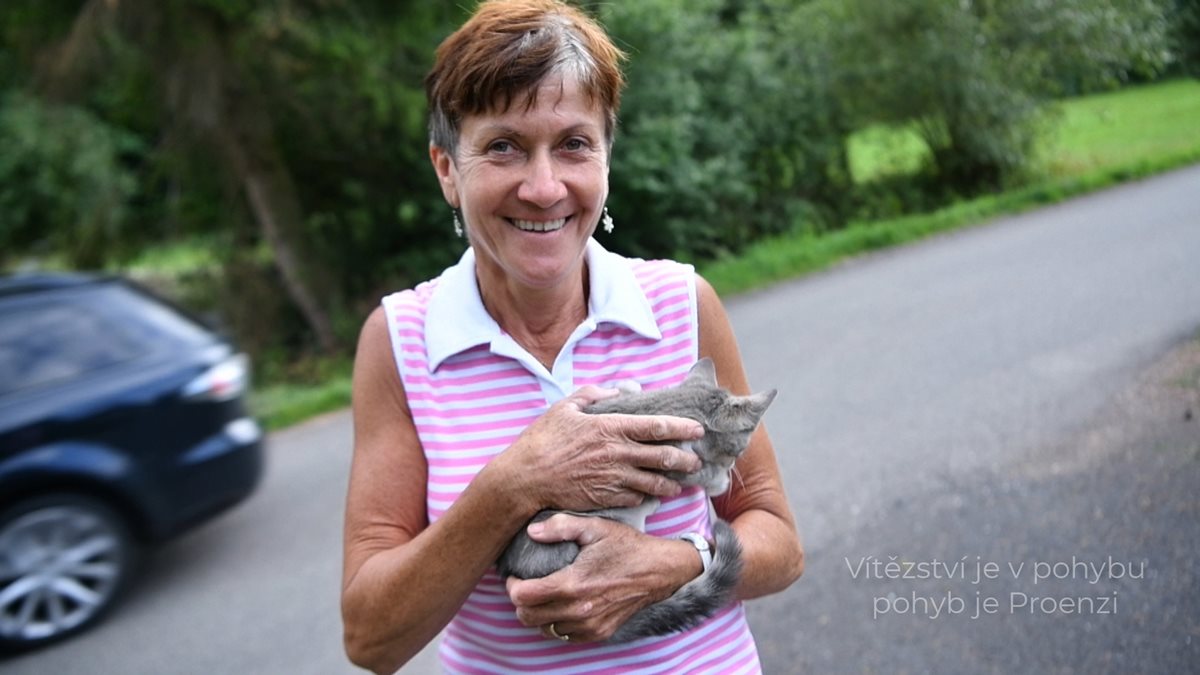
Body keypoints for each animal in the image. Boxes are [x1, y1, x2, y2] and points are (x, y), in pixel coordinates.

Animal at [496, 357, 777, 642]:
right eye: (740, 448)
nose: (732, 464)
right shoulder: (675, 463)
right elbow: (700, 471)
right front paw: (720, 480)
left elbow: (625, 387)